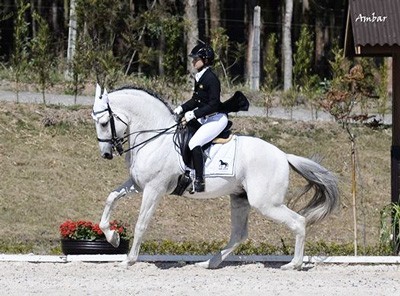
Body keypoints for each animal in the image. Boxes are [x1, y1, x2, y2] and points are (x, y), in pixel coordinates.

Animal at [92, 84, 340, 270]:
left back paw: (293, 264)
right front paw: (112, 237)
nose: (106, 154)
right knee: (239, 234)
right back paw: (209, 262)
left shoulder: (154, 189)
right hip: (240, 198)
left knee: (298, 222)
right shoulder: (138, 184)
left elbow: (141, 224)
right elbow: (111, 197)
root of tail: (283, 155)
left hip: (266, 203)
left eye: (104, 122)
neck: (155, 137)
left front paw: (129, 259)